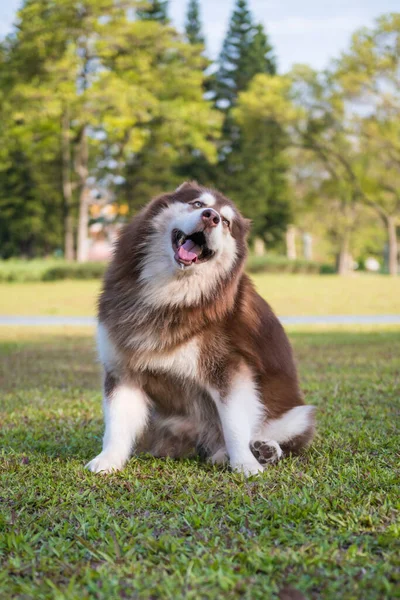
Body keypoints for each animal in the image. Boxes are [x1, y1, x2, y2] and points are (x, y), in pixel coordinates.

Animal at [86, 180, 314, 476]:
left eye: (226, 222)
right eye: (197, 204)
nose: (211, 217)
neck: (169, 294)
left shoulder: (228, 368)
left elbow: (234, 425)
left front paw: (245, 463)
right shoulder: (122, 368)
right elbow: (116, 424)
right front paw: (109, 460)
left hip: (297, 415)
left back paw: (262, 450)